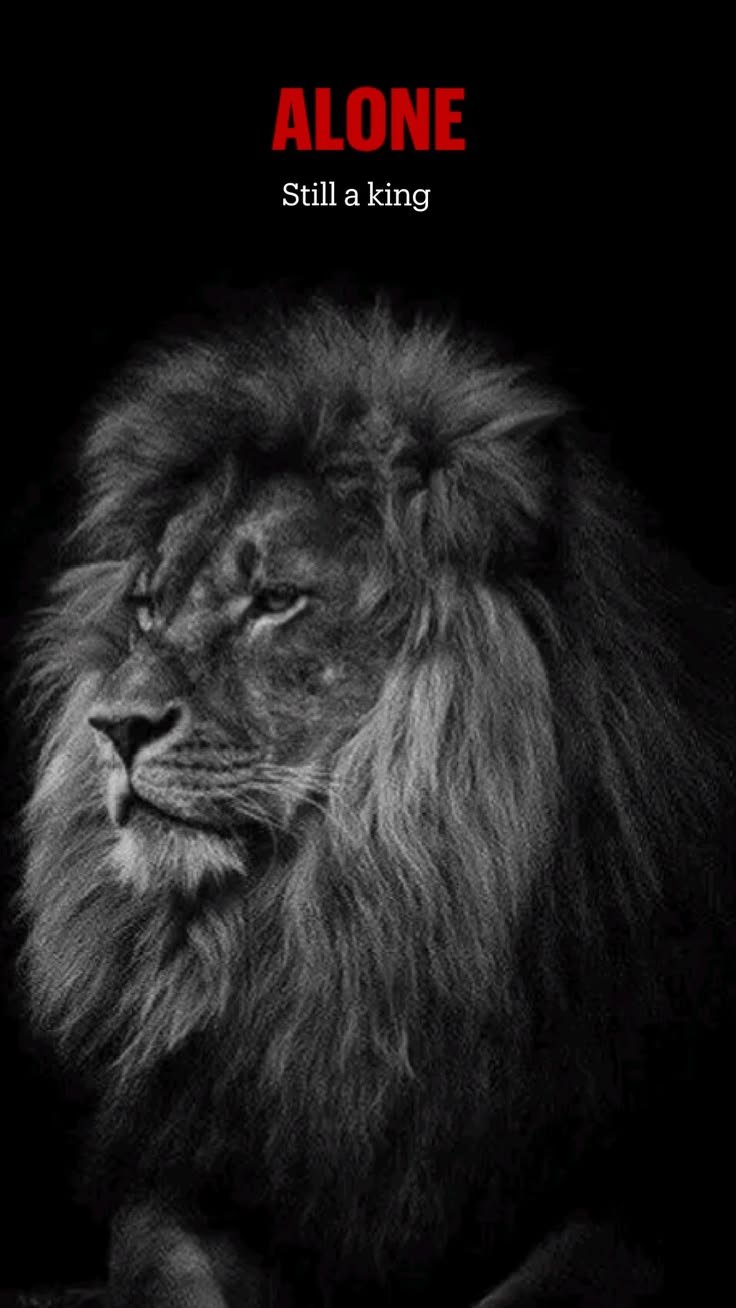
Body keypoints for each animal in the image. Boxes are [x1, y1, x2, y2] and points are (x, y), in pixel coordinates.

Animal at [19, 299, 735, 1305]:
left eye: (277, 598)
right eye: (148, 606)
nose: (112, 725)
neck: (356, 935)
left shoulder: (636, 1193)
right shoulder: (191, 1174)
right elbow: (169, 1272)